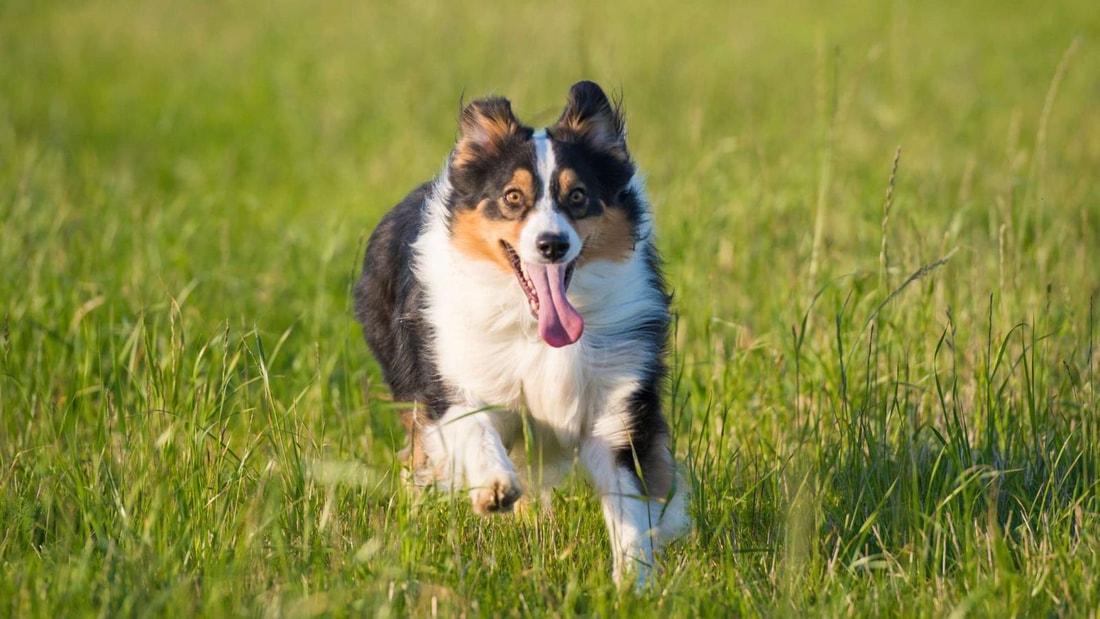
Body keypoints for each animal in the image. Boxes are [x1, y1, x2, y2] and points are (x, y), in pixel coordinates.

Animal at [356, 79, 686, 584]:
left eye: (578, 196)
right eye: (513, 197)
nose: (552, 245)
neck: (535, 328)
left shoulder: (618, 401)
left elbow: (630, 505)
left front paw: (633, 583)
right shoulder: (453, 377)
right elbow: (474, 428)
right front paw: (494, 488)